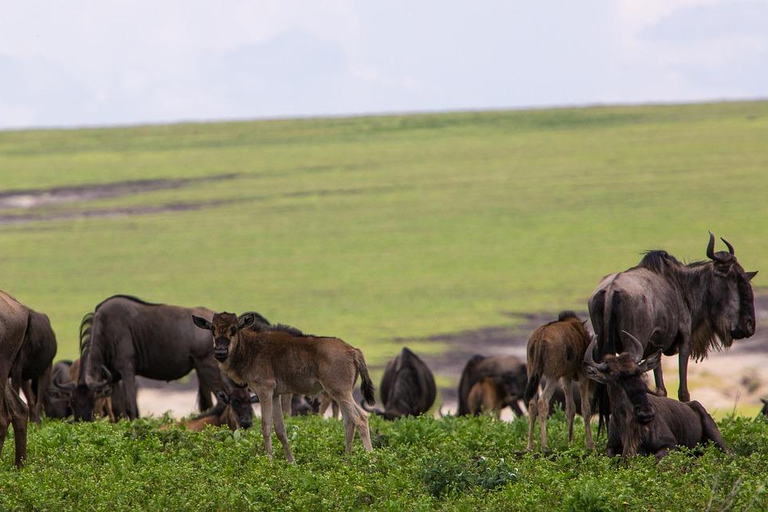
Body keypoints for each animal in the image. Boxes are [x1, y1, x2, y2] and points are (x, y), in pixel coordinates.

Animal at [74, 294, 231, 422]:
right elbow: (118, 411)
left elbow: (131, 406)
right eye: (73, 401)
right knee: (210, 405)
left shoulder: (127, 369)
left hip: (208, 367)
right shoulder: (114, 378)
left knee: (222, 400)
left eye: (92, 399)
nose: (82, 422)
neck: (104, 330)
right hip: (201, 370)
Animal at [190, 310, 374, 462]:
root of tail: (353, 351)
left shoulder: (264, 391)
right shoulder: (275, 395)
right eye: (212, 329)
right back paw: (346, 461)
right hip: (341, 393)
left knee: (361, 419)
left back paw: (371, 460)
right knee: (349, 421)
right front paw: (291, 462)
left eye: (234, 329)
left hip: (340, 392)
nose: (220, 353)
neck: (251, 349)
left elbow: (265, 426)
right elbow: (281, 429)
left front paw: (270, 461)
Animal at [520, 310, 592, 450]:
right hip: (552, 377)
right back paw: (544, 446)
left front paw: (570, 442)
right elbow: (586, 408)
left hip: (533, 373)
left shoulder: (566, 377)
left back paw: (530, 446)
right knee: (542, 402)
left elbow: (570, 408)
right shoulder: (582, 375)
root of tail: (540, 337)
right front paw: (590, 445)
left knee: (532, 404)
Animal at [584, 332, 728, 460]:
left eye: (639, 372)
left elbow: (655, 460)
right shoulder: (611, 448)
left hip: (718, 440)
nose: (646, 413)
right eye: (615, 377)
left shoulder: (671, 445)